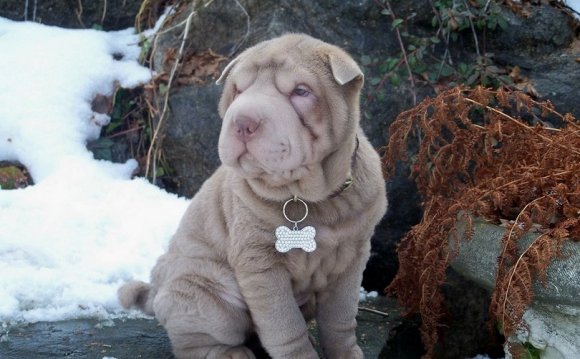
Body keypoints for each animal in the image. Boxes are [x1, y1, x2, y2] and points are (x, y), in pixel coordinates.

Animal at [118, 33, 388, 359]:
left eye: (301, 91)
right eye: (238, 89)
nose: (242, 122)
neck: (308, 198)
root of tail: (156, 287)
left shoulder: (352, 257)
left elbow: (340, 319)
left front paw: (347, 354)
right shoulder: (260, 265)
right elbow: (286, 327)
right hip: (207, 298)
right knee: (195, 340)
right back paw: (231, 353)